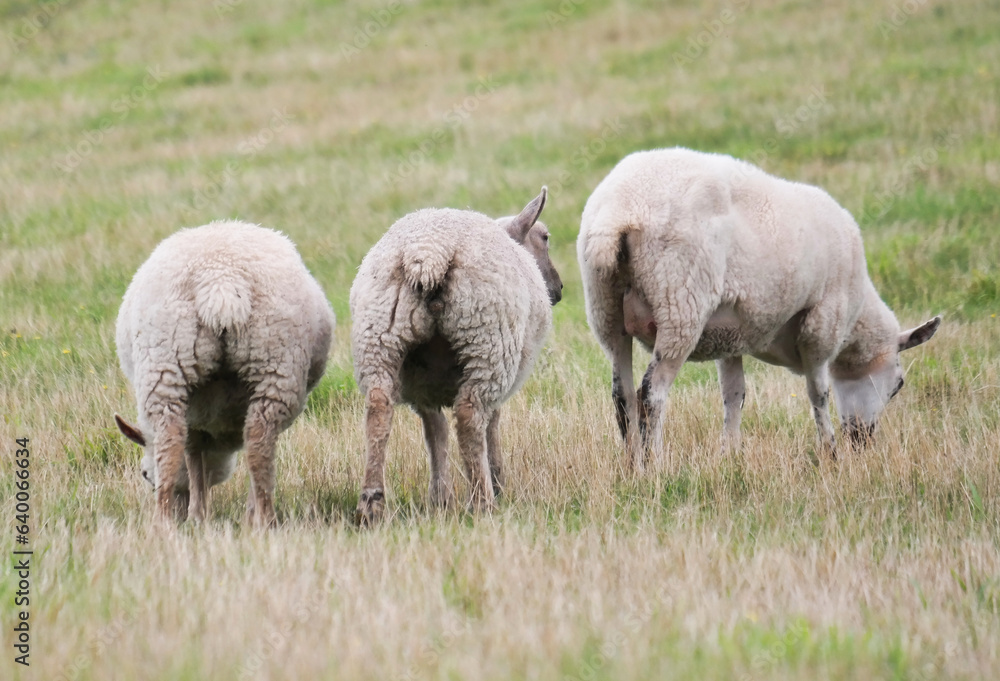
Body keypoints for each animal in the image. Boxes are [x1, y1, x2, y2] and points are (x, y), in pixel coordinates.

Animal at [114, 220, 335, 526]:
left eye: (145, 475)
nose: (181, 510)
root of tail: (221, 281)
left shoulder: (196, 417)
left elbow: (193, 458)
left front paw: (197, 513)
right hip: (273, 364)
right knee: (259, 440)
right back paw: (260, 518)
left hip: (166, 367)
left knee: (171, 442)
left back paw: (165, 520)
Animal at [350, 188, 562, 525]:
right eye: (544, 237)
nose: (559, 290)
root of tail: (428, 253)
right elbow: (490, 426)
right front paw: (497, 482)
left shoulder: (423, 388)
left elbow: (435, 433)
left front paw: (441, 499)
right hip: (488, 343)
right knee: (469, 415)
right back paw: (483, 501)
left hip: (379, 337)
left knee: (379, 408)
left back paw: (372, 503)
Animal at [577, 148, 940, 469]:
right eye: (899, 384)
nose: (862, 440)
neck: (857, 317)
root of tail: (621, 212)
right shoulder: (821, 323)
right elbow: (818, 393)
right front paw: (830, 453)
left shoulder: (727, 335)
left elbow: (734, 395)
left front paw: (730, 457)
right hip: (679, 304)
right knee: (651, 394)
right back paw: (654, 466)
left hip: (606, 309)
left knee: (622, 395)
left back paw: (631, 466)